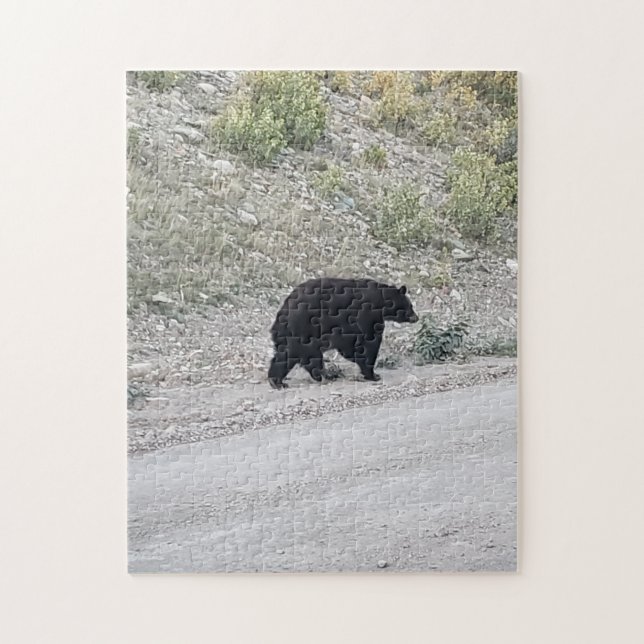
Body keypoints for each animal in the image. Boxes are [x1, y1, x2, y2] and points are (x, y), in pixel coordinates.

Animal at [268, 277, 419, 389]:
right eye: (410, 305)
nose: (416, 317)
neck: (381, 300)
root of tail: (285, 310)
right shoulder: (367, 315)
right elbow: (369, 342)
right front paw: (373, 374)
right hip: (306, 328)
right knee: (308, 354)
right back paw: (324, 375)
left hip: (292, 334)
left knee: (288, 354)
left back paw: (277, 380)